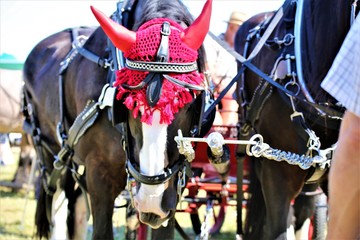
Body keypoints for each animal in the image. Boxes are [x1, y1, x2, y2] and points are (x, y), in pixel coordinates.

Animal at [23, 0, 215, 239]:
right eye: (127, 103)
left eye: (188, 103)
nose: (151, 202)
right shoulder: (99, 177)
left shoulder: (174, 187)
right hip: (49, 151)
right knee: (56, 200)